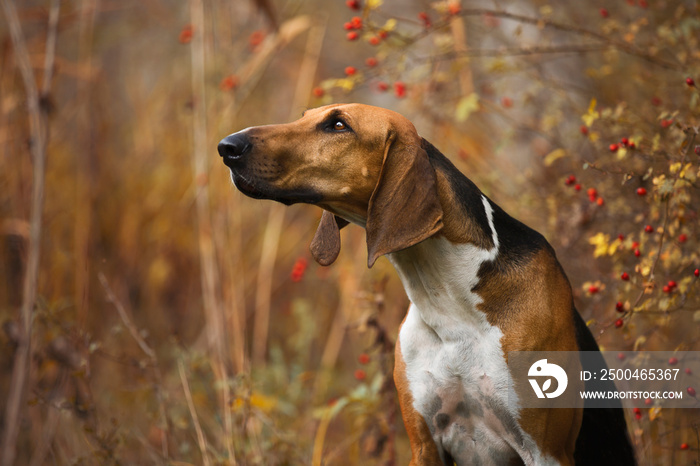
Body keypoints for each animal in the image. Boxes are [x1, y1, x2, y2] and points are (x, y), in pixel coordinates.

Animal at [217, 104, 636, 464]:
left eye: (338, 125)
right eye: (304, 116)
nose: (226, 147)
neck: (450, 304)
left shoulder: (545, 450)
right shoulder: (424, 443)